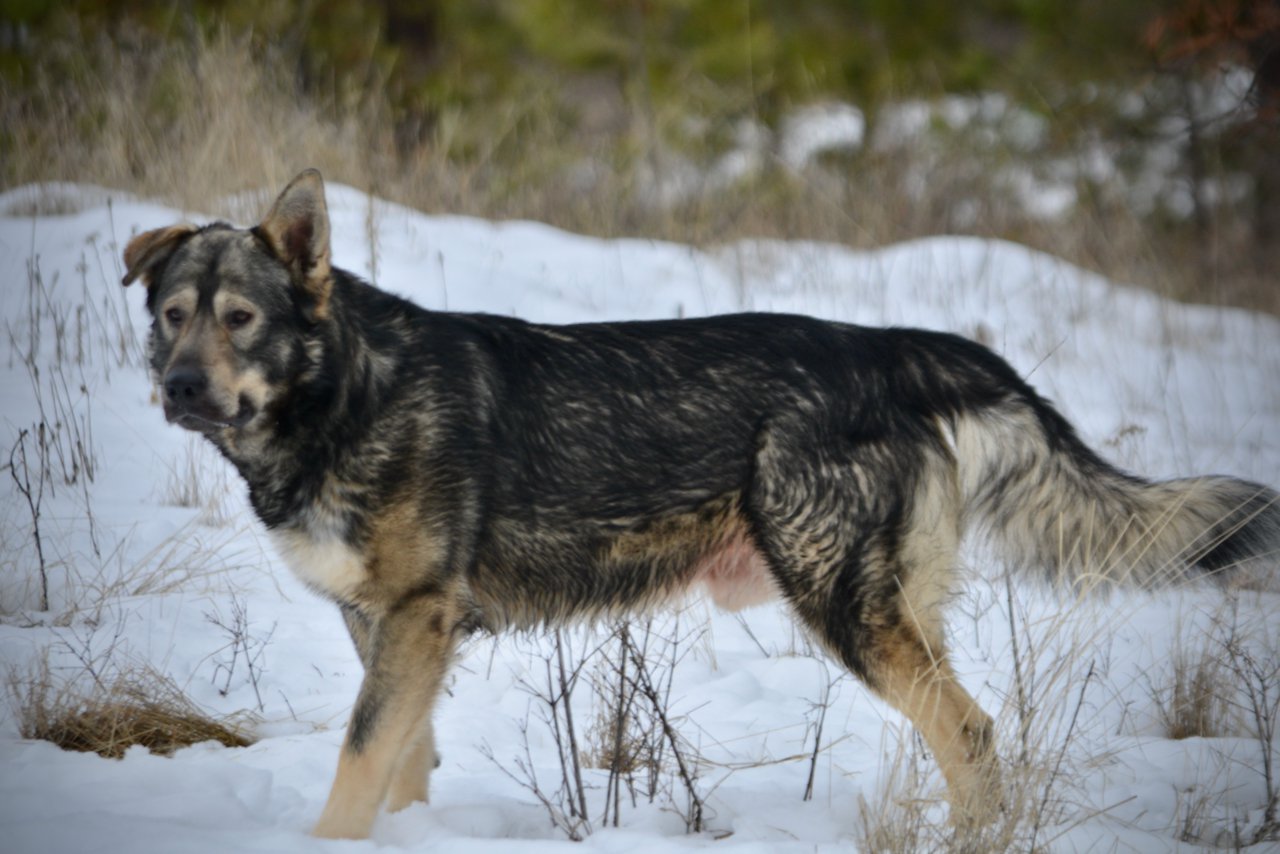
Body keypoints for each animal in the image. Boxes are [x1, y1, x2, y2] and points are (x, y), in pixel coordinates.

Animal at [122, 170, 1280, 839]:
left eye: (240, 318)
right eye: (173, 315)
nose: (177, 389)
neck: (345, 396)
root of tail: (891, 348)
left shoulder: (415, 622)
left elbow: (359, 766)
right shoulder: (388, 629)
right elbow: (400, 762)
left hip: (845, 609)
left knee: (969, 730)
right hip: (894, 608)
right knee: (973, 730)